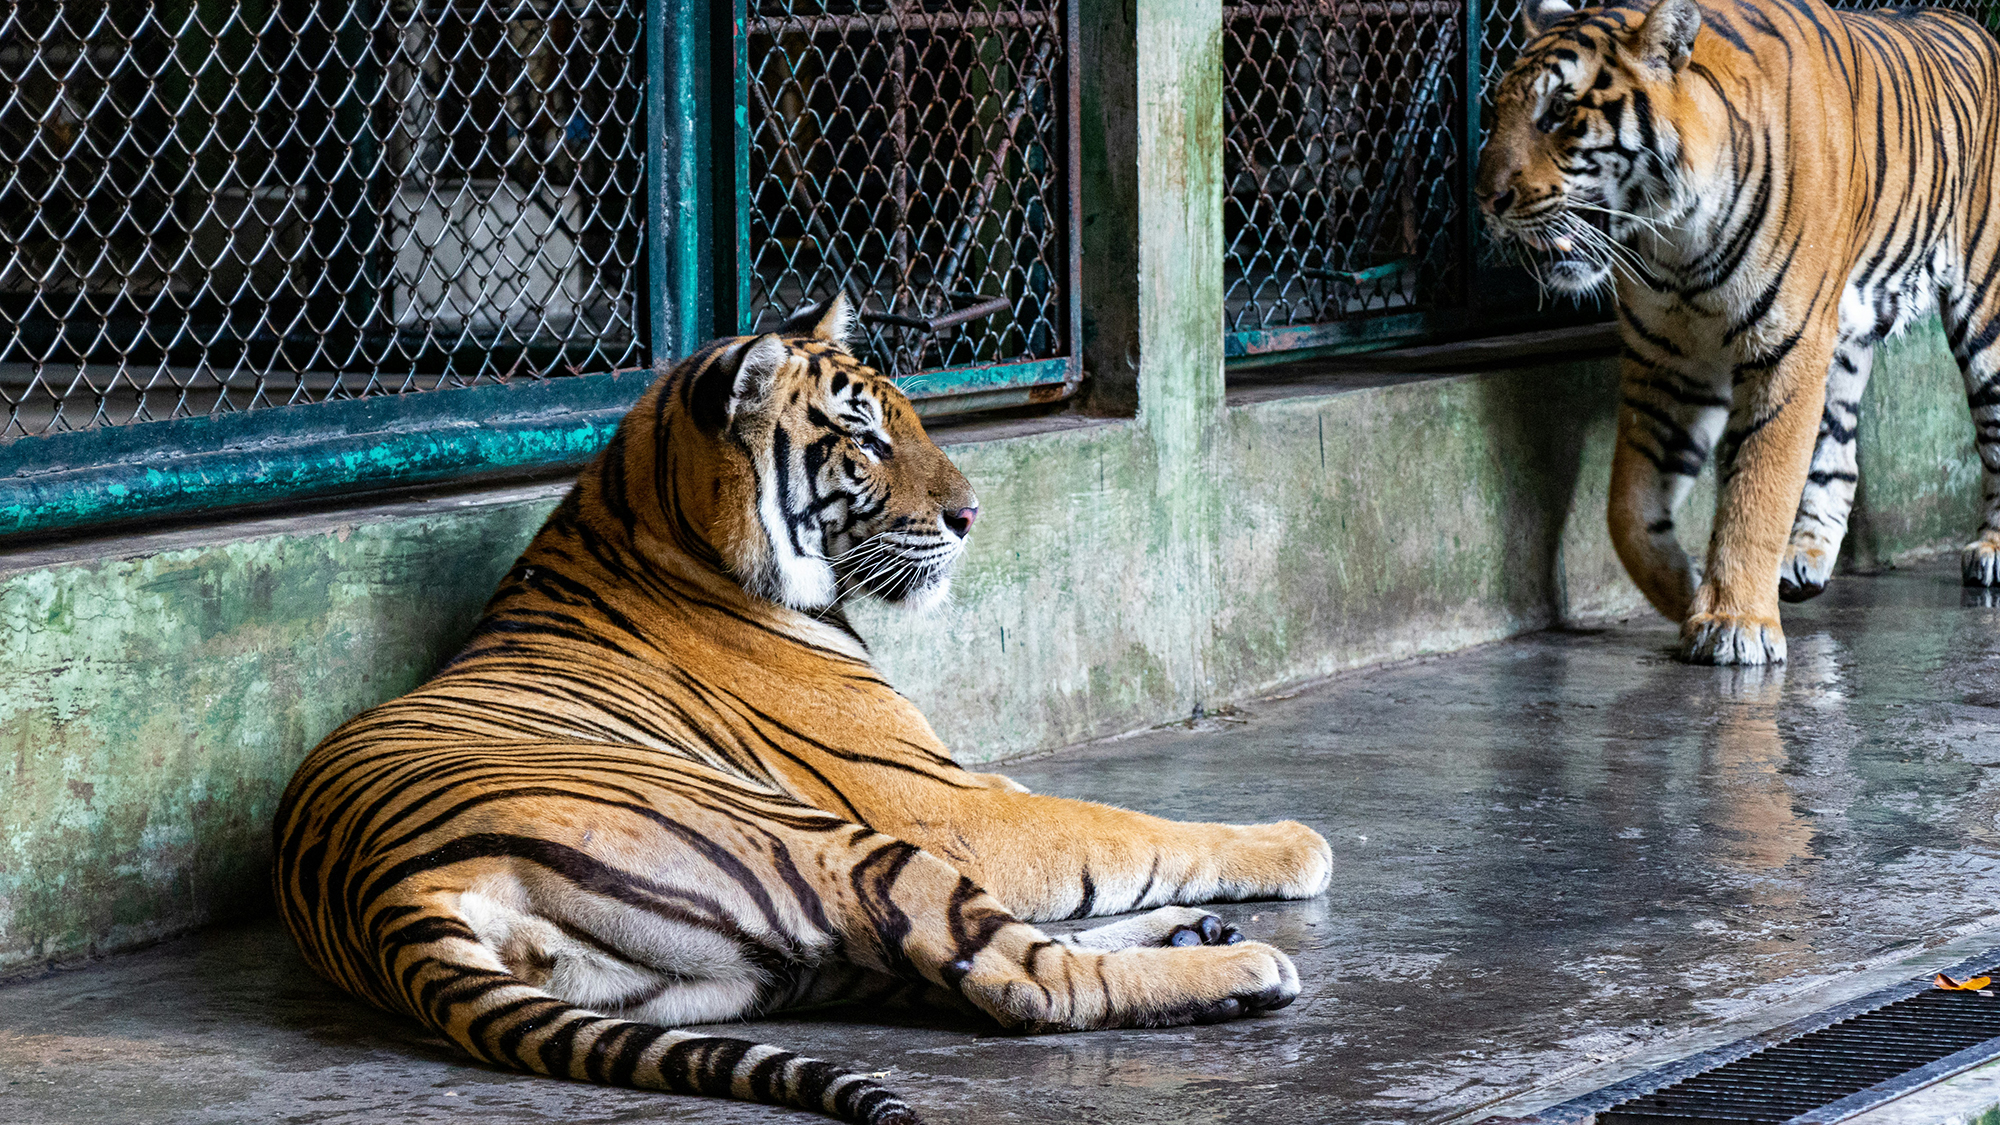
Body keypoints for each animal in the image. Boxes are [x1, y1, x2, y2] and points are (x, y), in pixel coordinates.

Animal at [271, 295, 1334, 1125]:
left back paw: (1194, 933)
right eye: (864, 436)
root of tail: (387, 897)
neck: (660, 524)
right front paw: (1291, 841)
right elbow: (1125, 826)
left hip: (730, 971)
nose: (972, 515)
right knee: (1026, 982)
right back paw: (1240, 967)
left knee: (949, 967)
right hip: (833, 847)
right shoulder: (943, 805)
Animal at [1475, 0, 2000, 664]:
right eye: (1496, 113)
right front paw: (1684, 592)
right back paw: (1803, 560)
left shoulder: (1787, 347)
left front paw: (1734, 620)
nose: (1485, 198)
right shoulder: (1667, 361)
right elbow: (1627, 509)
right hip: (1846, 339)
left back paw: (1990, 551)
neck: (1673, 240)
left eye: (1560, 113)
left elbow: (1759, 489)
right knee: (1838, 454)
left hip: (1985, 311)